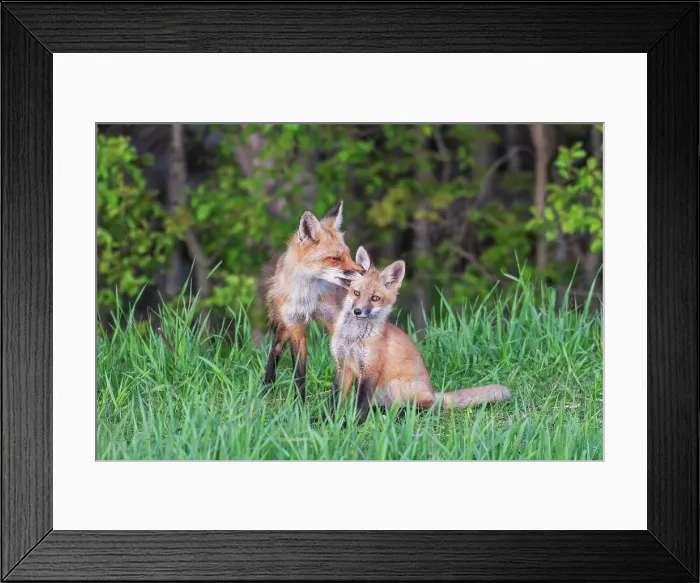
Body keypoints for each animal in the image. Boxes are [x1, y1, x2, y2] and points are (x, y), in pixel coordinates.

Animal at [262, 201, 365, 402]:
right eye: (335, 258)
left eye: (349, 255)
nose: (365, 272)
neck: (307, 298)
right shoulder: (295, 328)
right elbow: (299, 375)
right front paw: (299, 407)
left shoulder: (336, 322)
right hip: (283, 327)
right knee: (275, 350)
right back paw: (265, 391)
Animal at [328, 248, 513, 423]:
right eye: (356, 293)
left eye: (375, 298)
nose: (357, 311)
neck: (352, 338)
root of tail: (433, 392)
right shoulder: (344, 365)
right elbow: (335, 399)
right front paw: (327, 420)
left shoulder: (370, 370)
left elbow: (360, 406)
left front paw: (351, 424)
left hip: (396, 385)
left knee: (427, 409)